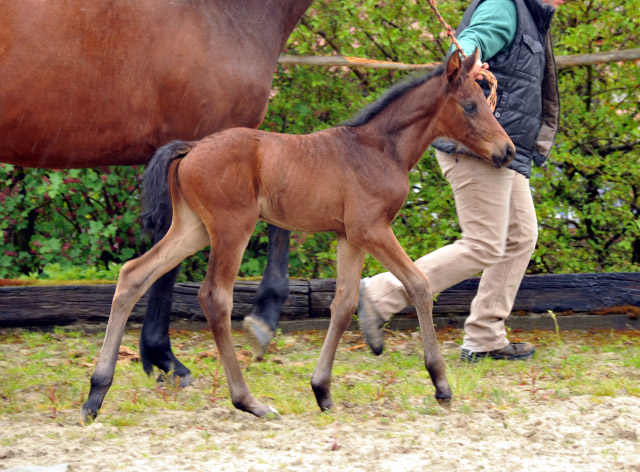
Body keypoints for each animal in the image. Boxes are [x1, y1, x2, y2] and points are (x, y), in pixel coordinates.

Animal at [84, 50, 516, 420]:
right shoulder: (372, 229)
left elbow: (344, 304)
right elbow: (419, 284)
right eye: (470, 105)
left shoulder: (349, 237)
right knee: (214, 297)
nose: (508, 151)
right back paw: (249, 401)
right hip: (231, 228)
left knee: (134, 274)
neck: (380, 149)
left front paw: (322, 390)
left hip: (193, 229)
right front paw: (441, 384)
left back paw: (96, 393)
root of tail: (191, 148)